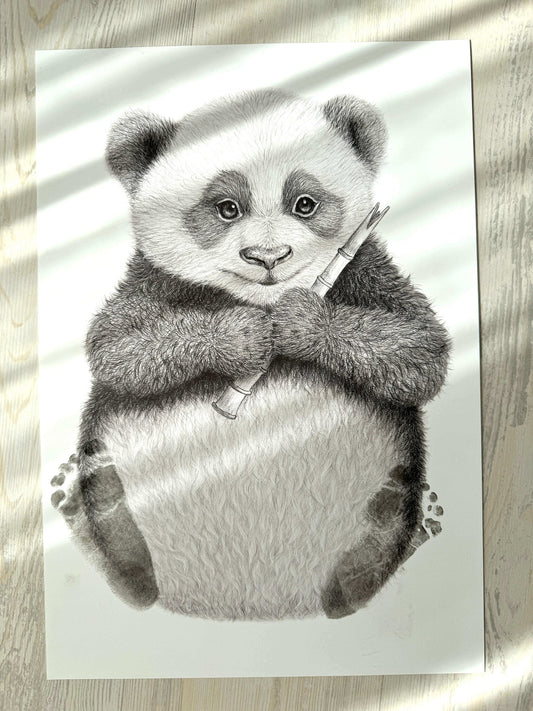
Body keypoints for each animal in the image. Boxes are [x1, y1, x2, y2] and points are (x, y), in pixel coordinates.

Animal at [51, 88, 450, 620]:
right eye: (226, 207)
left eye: (304, 203)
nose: (268, 258)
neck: (259, 298)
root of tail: (246, 600)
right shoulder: (156, 282)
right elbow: (118, 345)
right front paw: (244, 337)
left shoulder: (365, 270)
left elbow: (421, 349)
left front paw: (300, 322)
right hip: (114, 475)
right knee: (115, 525)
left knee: (379, 535)